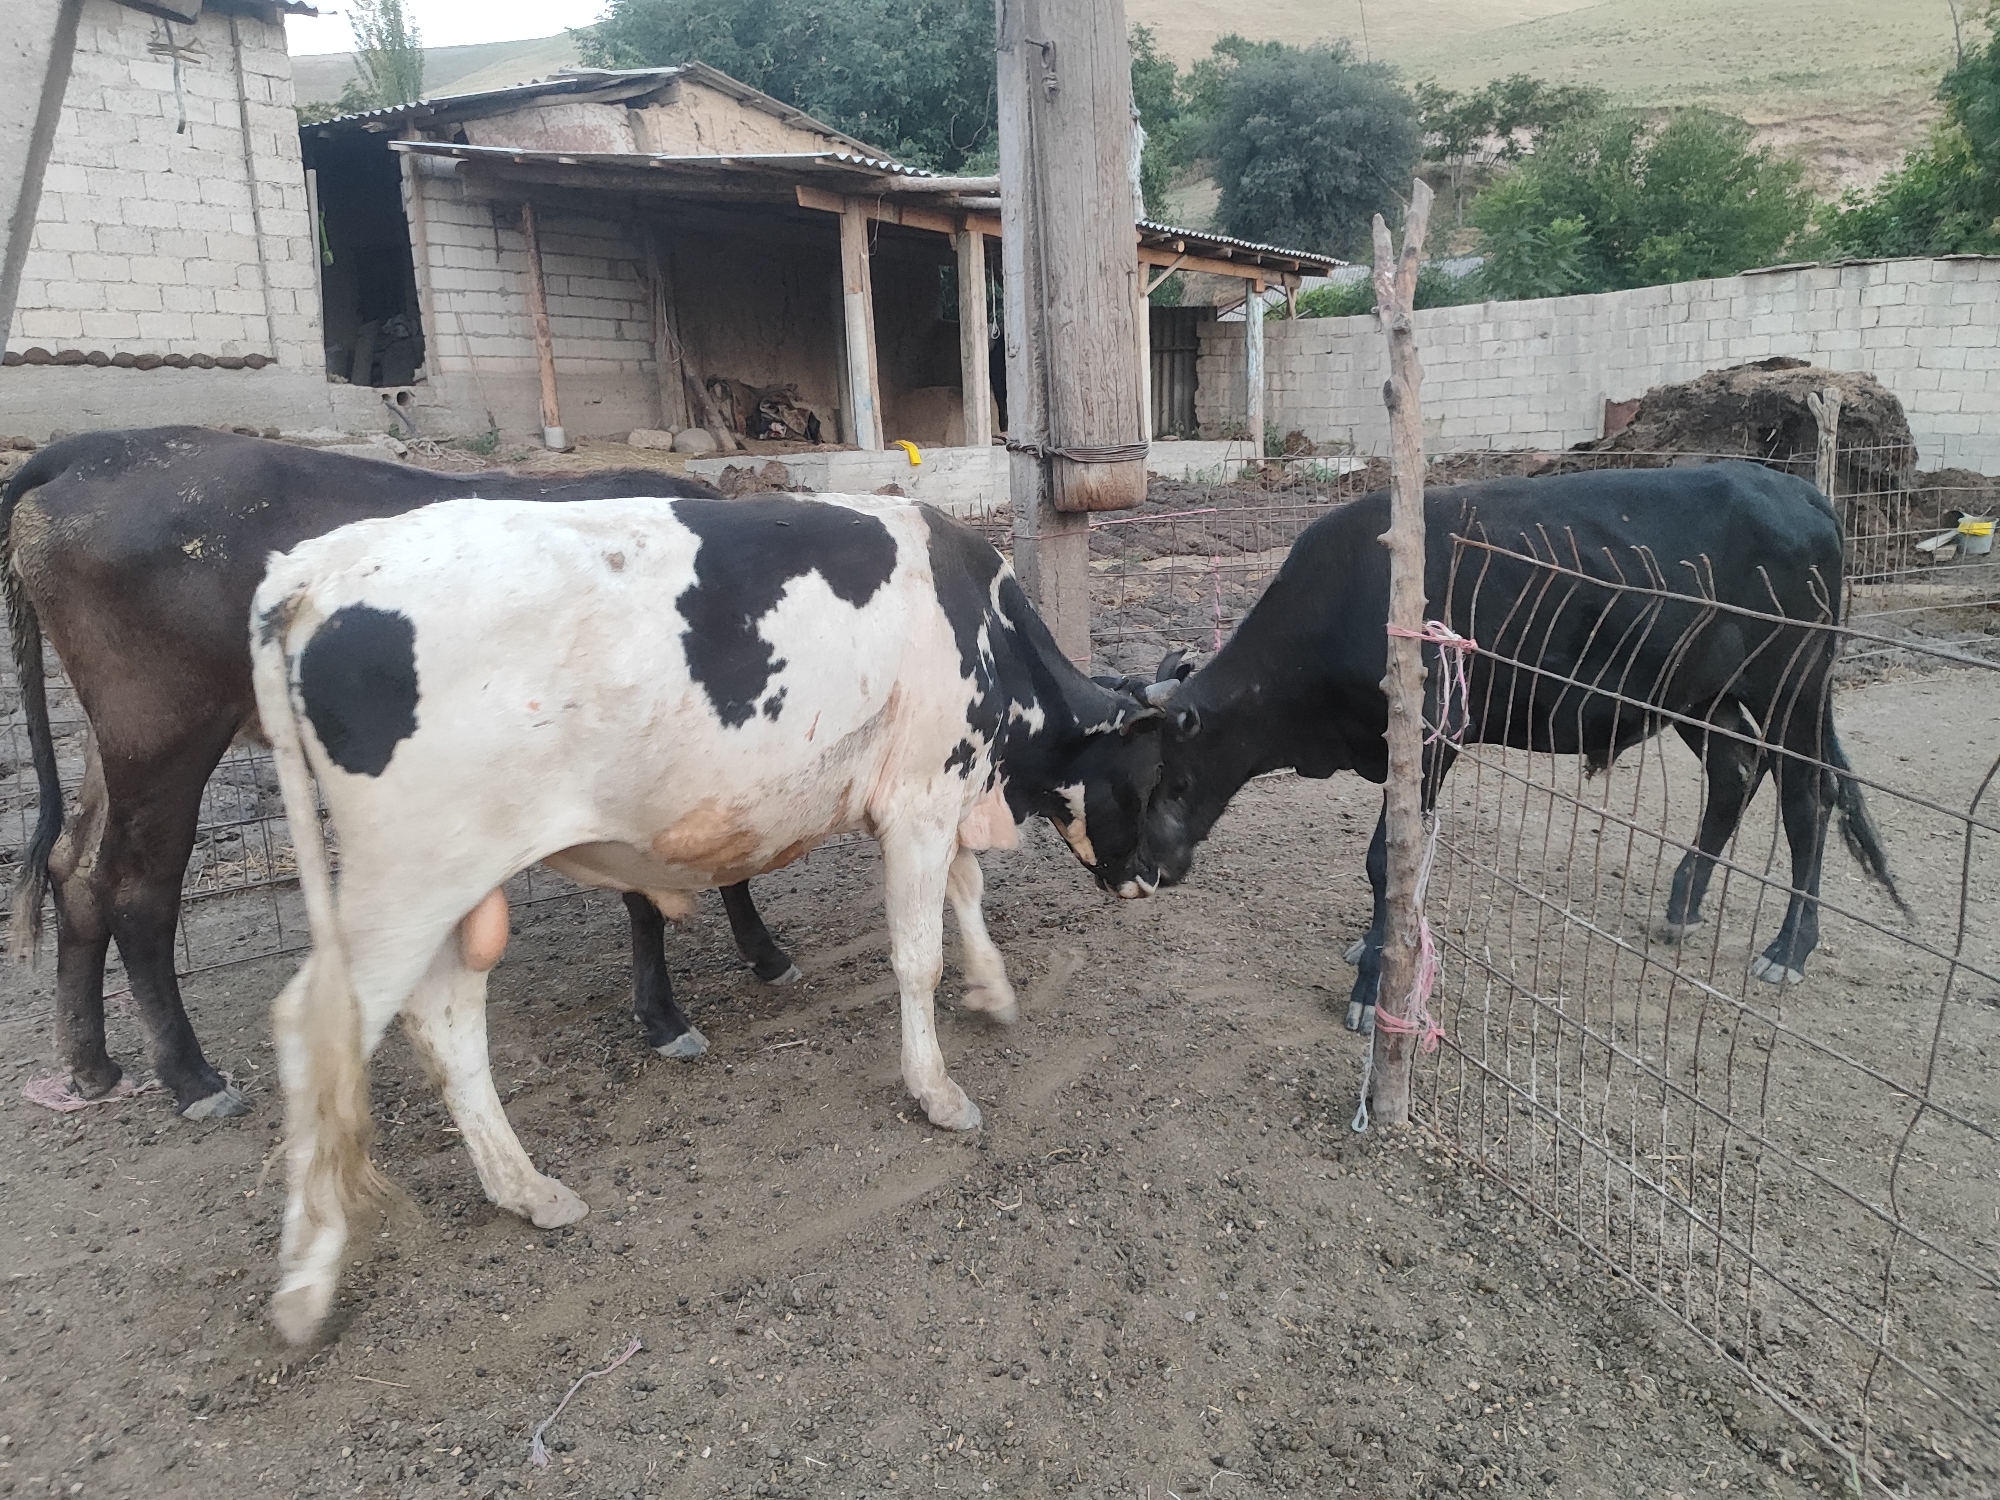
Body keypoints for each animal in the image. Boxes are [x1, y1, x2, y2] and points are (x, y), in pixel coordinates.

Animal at [3, 428, 799, 1119]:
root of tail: (97, 447)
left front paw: (763, 955)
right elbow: (651, 890)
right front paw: (665, 1017)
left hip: (111, 738)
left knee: (73, 869)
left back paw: (92, 1065)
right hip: (164, 727)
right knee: (134, 889)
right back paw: (191, 1078)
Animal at [248, 490, 1162, 1341]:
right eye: (1158, 776)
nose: (1160, 877)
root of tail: (314, 564)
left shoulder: (938, 792)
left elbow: (965, 894)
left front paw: (994, 992)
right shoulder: (923, 795)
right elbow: (917, 954)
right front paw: (936, 1089)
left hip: (452, 885)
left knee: (445, 1021)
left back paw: (526, 1190)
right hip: (406, 880)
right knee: (313, 1025)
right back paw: (306, 1281)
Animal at [1108, 462, 1901, 1030]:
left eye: (1171, 779)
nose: (1146, 867)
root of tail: (1801, 489)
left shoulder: (1433, 735)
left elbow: (1386, 861)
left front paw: (1371, 985)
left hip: (1794, 689)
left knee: (1806, 800)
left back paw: (1788, 948)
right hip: (1702, 698)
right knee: (1736, 774)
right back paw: (1683, 905)